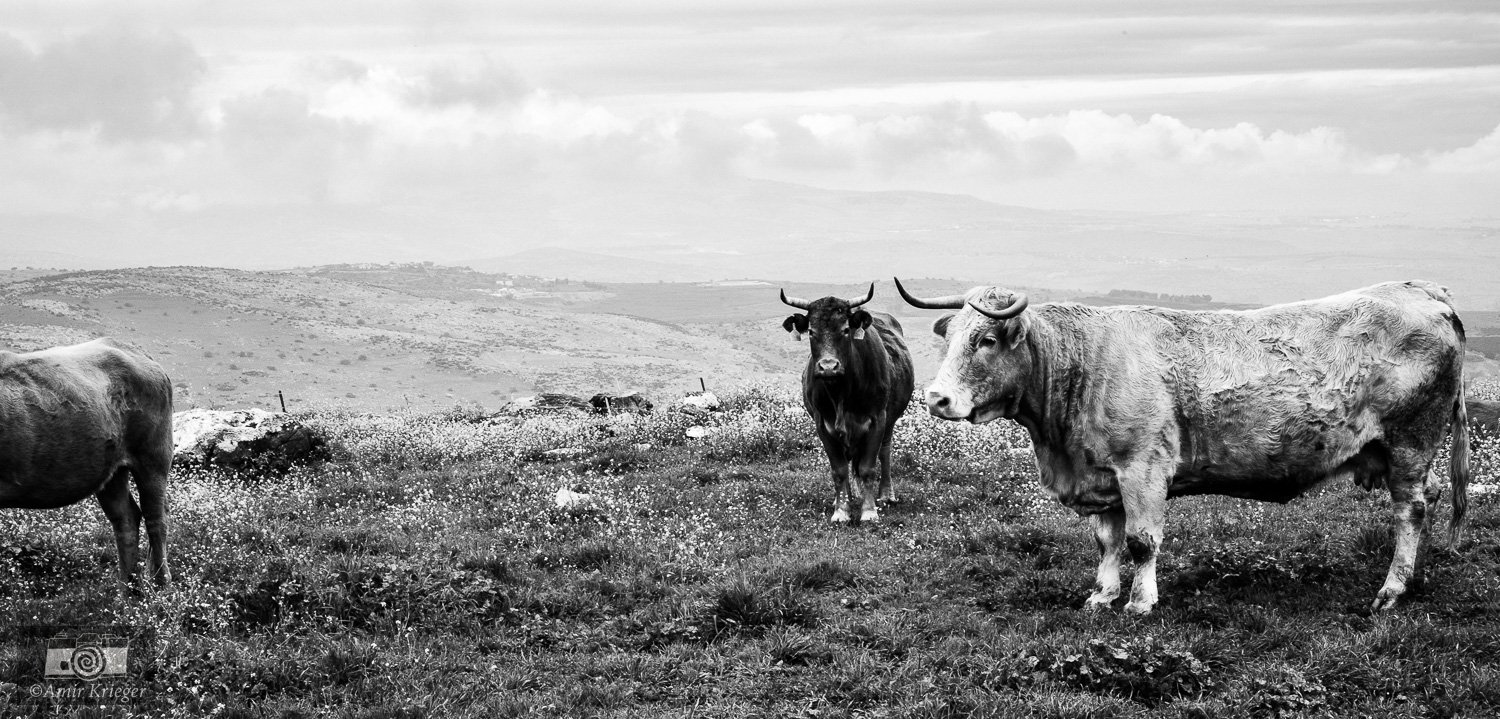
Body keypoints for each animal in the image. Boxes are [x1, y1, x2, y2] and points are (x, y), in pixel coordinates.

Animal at [0, 340, 172, 588]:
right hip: (111, 471)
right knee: (126, 519)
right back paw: (128, 589)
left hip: (153, 456)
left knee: (156, 518)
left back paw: (161, 586)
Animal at [786, 282, 912, 522]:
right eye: (811, 332)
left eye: (845, 330)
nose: (828, 366)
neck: (841, 394)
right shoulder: (822, 424)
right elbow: (839, 470)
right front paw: (841, 510)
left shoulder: (877, 419)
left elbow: (867, 468)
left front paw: (869, 511)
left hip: (890, 420)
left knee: (885, 452)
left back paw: (886, 494)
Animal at [894, 279, 1470, 615]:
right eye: (949, 338)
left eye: (987, 340)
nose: (936, 398)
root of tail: (1422, 290)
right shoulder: (1104, 476)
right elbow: (1106, 541)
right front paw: (1103, 594)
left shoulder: (1142, 468)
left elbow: (1141, 541)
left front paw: (1139, 603)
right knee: (1430, 500)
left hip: (1411, 442)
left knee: (1412, 510)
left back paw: (1392, 590)